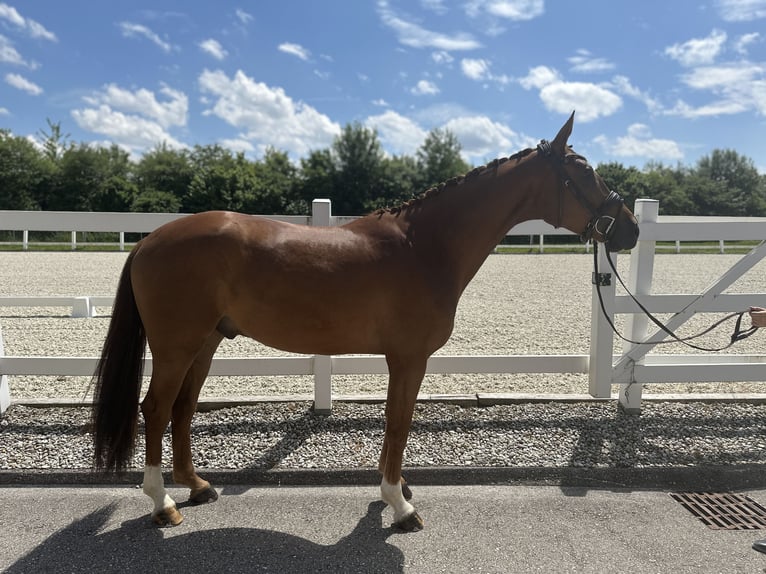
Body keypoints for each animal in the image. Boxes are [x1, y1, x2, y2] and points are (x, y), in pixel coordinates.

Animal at [91, 115, 640, 532]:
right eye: (584, 173)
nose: (631, 229)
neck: (425, 246)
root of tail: (150, 239)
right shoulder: (409, 358)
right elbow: (398, 424)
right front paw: (400, 505)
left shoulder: (401, 360)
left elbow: (395, 425)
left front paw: (395, 490)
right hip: (176, 346)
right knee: (156, 409)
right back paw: (162, 503)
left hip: (204, 344)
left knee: (182, 409)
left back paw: (198, 486)